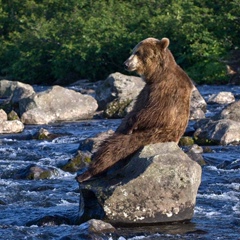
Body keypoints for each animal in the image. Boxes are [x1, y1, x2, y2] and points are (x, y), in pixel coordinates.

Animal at [76, 37, 194, 183]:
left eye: (137, 52)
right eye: (133, 51)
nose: (125, 64)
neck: (157, 75)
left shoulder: (165, 89)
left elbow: (156, 112)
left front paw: (133, 123)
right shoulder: (146, 90)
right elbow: (134, 110)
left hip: (152, 136)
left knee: (116, 147)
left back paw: (88, 173)